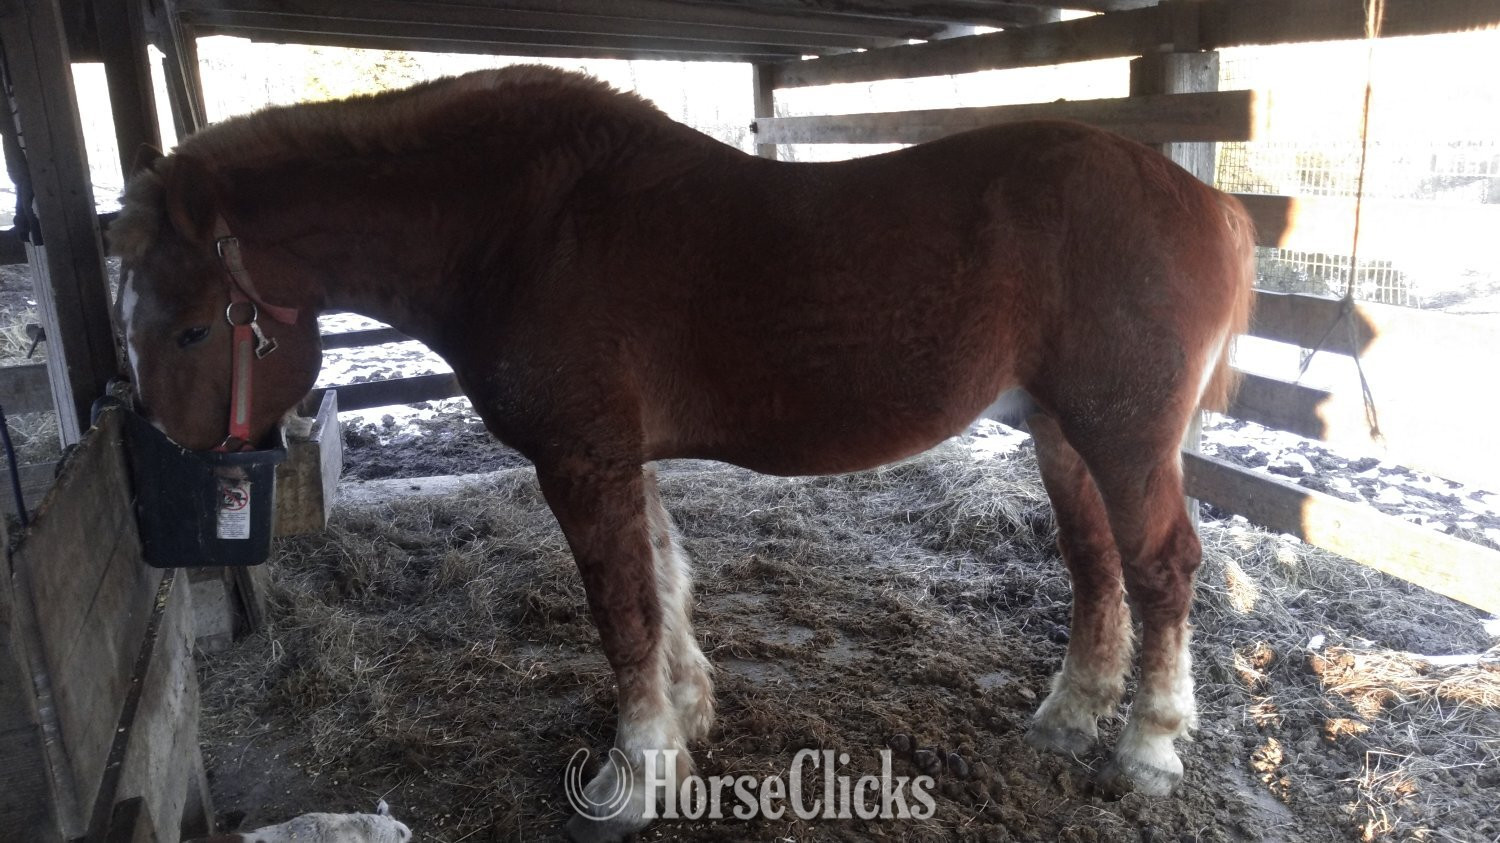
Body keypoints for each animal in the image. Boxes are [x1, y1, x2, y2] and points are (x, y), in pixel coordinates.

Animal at [112, 66, 1254, 841]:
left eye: (190, 330)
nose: (178, 474)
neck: (523, 228)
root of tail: (1211, 204)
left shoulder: (582, 460)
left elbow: (622, 611)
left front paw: (632, 773)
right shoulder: (625, 459)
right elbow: (664, 587)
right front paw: (687, 720)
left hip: (1122, 435)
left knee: (1163, 569)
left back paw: (1148, 749)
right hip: (1065, 433)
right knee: (1097, 568)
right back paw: (1069, 719)